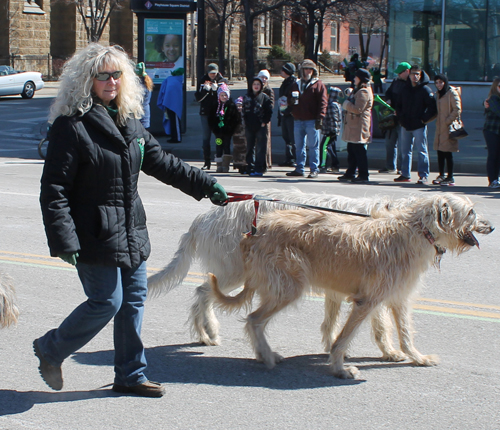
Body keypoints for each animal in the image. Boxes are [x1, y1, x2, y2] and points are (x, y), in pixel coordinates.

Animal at [209, 195, 494, 380]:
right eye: (470, 212)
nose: (491, 226)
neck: (417, 230)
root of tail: (255, 231)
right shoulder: (366, 300)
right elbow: (343, 338)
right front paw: (340, 368)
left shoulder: (397, 297)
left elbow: (404, 333)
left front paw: (417, 357)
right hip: (289, 287)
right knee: (254, 319)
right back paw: (266, 356)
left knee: (255, 320)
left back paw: (262, 353)